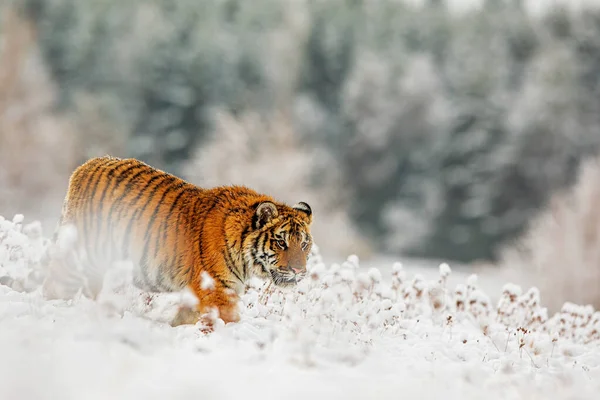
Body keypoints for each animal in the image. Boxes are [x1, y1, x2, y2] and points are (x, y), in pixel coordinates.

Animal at [42, 155, 314, 326]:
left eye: (303, 244)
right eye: (281, 242)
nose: (299, 270)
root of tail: (84, 166)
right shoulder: (218, 292)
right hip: (80, 256)